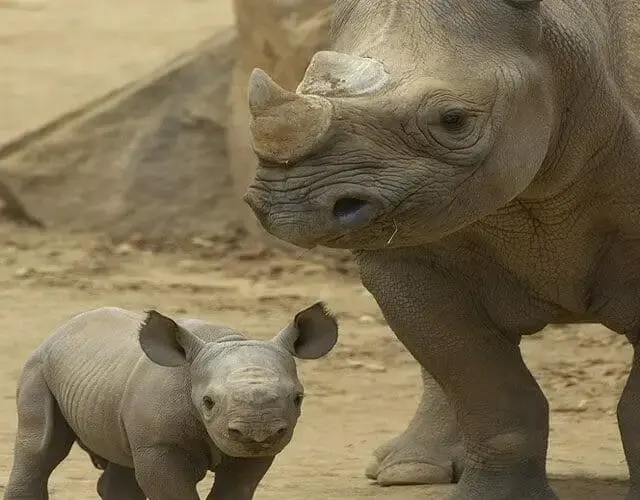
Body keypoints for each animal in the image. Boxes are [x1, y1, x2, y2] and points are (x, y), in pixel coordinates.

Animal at [4, 303, 338, 500]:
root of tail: (62, 329)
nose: (258, 432)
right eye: (208, 402)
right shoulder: (158, 445)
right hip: (38, 366)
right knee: (41, 447)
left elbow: (236, 488)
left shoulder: (255, 453)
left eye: (298, 398)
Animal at [242, 1, 640, 498]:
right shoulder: (409, 250)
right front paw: (494, 496)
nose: (286, 206)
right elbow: (481, 380)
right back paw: (408, 471)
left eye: (454, 121)